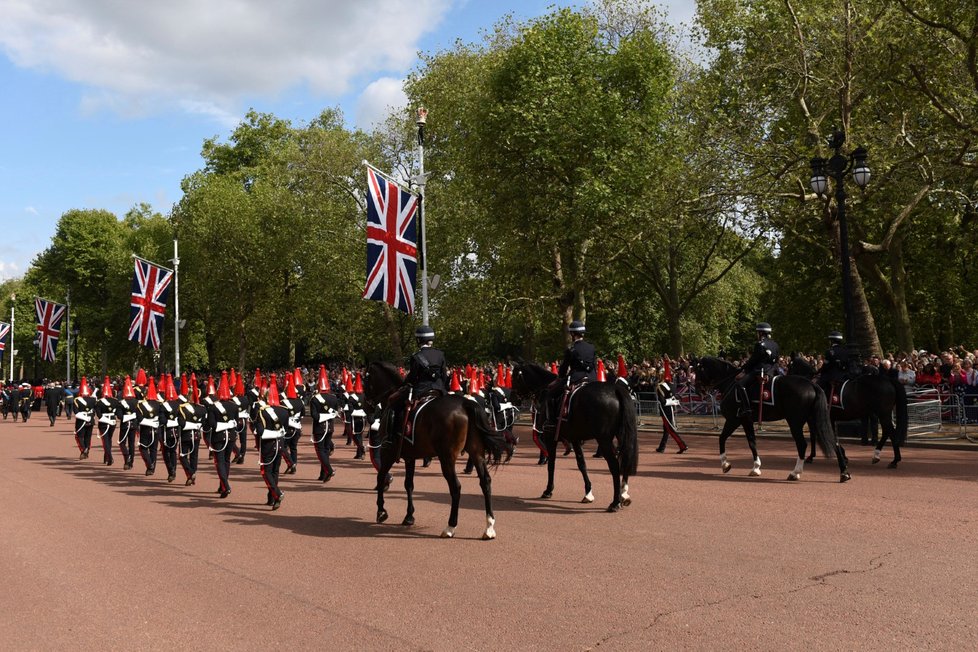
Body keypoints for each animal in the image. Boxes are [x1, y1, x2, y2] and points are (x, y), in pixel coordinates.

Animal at [362, 362, 508, 540]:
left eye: (366, 379)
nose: (365, 406)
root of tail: (466, 404)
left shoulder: (387, 452)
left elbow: (381, 476)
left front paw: (381, 511)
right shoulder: (410, 457)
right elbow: (409, 484)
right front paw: (409, 516)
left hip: (447, 457)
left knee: (456, 487)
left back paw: (450, 527)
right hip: (476, 453)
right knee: (485, 482)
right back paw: (489, 528)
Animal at [508, 362, 636, 510]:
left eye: (514, 377)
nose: (512, 399)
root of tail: (616, 390)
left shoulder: (550, 436)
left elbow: (551, 463)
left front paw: (548, 490)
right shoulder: (575, 438)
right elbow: (581, 464)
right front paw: (588, 493)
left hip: (603, 439)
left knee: (614, 465)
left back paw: (615, 502)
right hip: (620, 436)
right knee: (625, 459)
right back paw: (624, 493)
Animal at [692, 356, 848, 484]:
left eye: (698, 370)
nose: (698, 390)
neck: (730, 383)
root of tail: (812, 384)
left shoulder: (734, 420)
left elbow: (722, 438)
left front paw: (725, 464)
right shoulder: (746, 421)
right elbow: (752, 442)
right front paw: (756, 468)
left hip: (795, 422)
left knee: (802, 444)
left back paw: (795, 473)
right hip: (815, 420)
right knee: (833, 441)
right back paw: (844, 473)